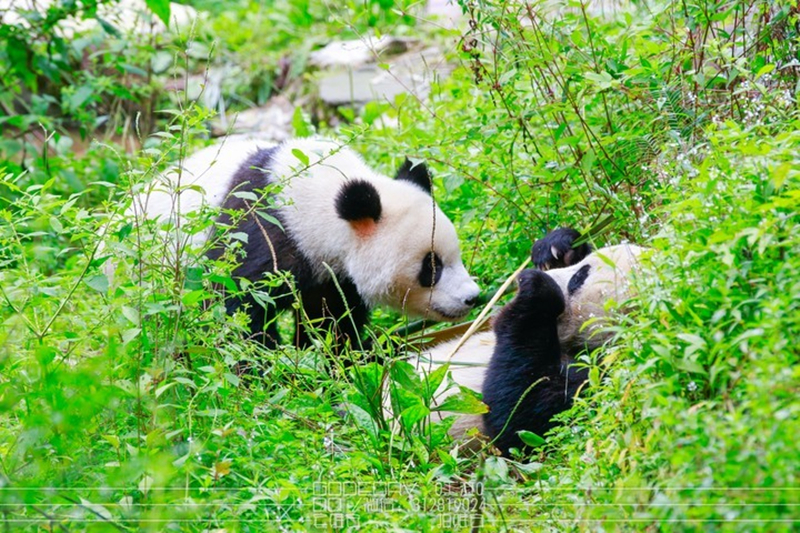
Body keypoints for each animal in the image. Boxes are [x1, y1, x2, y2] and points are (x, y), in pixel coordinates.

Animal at [120, 138, 482, 350]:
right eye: (431, 266)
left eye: (456, 255)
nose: (472, 298)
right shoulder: (261, 230)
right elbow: (236, 304)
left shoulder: (332, 276)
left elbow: (329, 320)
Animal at [410, 231, 640, 456]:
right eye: (582, 266)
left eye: (579, 278)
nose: (519, 279)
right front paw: (555, 247)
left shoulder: (600, 378)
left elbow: (520, 418)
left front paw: (536, 289)